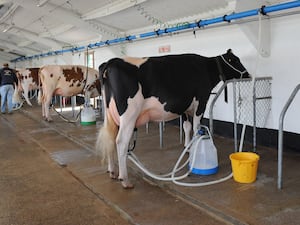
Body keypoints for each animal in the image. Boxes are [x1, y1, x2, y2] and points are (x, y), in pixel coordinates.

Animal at [97, 49, 250, 188]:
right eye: (236, 60)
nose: (248, 74)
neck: (206, 67)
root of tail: (112, 61)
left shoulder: (184, 106)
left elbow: (187, 126)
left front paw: (188, 147)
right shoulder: (201, 101)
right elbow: (196, 127)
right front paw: (195, 147)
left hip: (110, 115)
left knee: (111, 138)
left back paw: (112, 171)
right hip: (129, 114)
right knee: (121, 141)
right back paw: (125, 180)